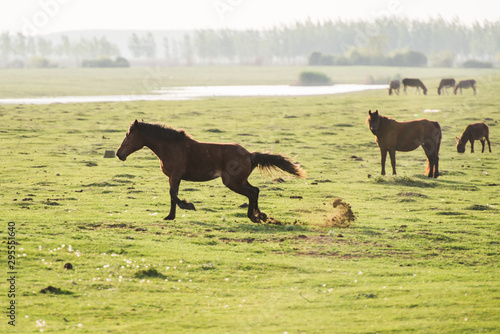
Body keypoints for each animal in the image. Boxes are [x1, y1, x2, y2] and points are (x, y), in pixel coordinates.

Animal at [116, 118, 304, 223]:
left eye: (128, 135)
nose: (119, 154)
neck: (171, 146)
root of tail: (250, 155)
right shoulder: (174, 177)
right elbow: (172, 195)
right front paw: (170, 216)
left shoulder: (176, 175)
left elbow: (173, 195)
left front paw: (188, 206)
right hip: (240, 181)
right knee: (255, 191)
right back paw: (260, 215)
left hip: (233, 183)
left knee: (252, 193)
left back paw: (254, 216)